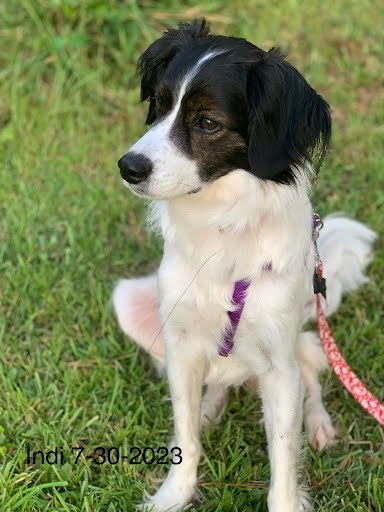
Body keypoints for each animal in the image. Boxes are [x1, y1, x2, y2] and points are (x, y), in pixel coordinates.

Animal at [112, 18, 376, 510]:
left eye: (208, 123)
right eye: (159, 105)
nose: (128, 167)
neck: (225, 226)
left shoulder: (278, 366)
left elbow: (284, 464)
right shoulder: (181, 347)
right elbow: (186, 436)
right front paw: (174, 495)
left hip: (303, 343)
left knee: (312, 381)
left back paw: (319, 425)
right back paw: (211, 407)